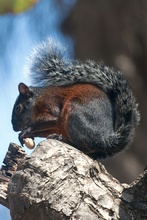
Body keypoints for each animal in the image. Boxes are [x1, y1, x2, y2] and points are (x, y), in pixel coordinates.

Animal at [10, 39, 140, 159]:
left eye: (18, 108)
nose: (14, 128)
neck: (37, 100)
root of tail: (105, 139)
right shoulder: (53, 126)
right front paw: (27, 135)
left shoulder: (50, 103)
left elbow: (52, 117)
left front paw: (27, 130)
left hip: (75, 115)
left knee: (82, 146)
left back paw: (62, 138)